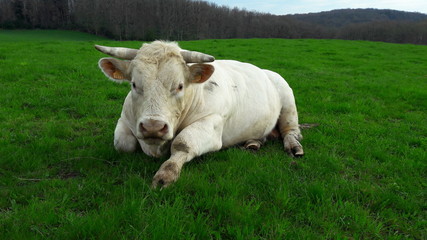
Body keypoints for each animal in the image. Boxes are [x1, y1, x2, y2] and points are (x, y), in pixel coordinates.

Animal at [96, 41, 304, 188]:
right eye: (134, 84)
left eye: (179, 86)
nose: (153, 127)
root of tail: (266, 71)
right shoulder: (124, 119)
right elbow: (123, 144)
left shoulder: (212, 122)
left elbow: (183, 143)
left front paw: (166, 175)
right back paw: (254, 143)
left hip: (288, 101)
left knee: (290, 130)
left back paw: (294, 146)